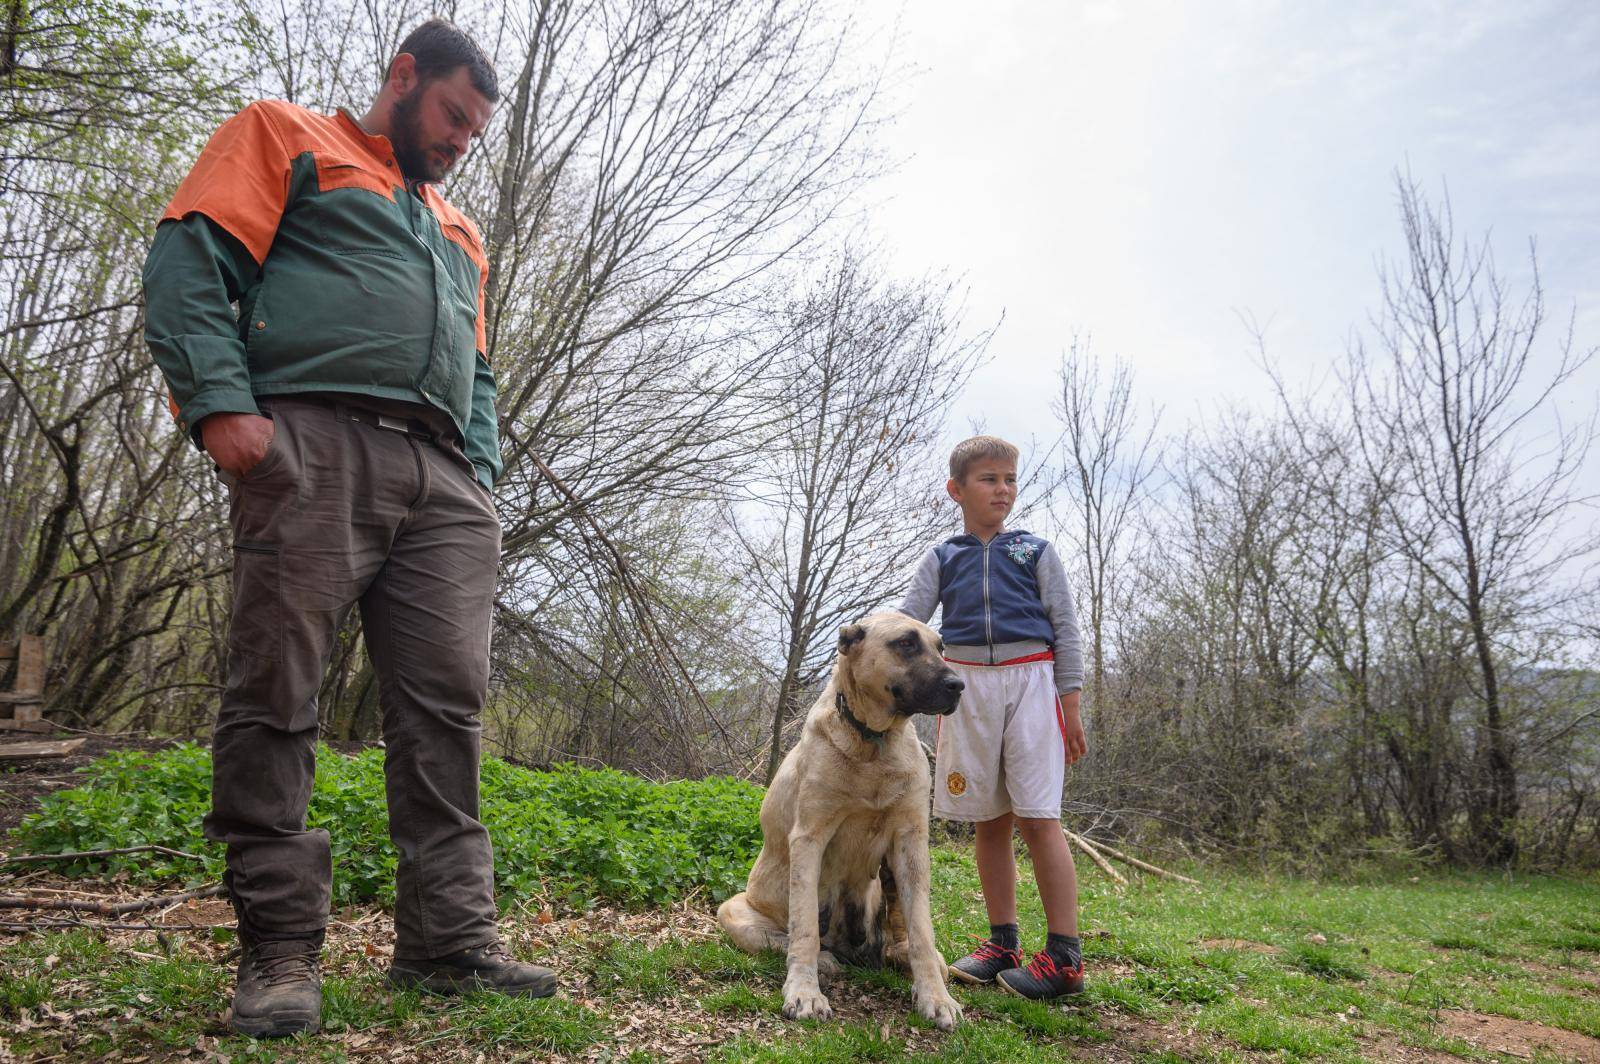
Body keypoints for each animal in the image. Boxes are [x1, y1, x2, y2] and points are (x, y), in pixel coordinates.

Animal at [723, 614, 966, 1030]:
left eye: (941, 647)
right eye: (906, 643)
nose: (958, 686)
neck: (873, 742)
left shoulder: (911, 843)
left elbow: (922, 930)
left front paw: (935, 997)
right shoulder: (809, 838)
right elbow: (804, 927)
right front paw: (804, 992)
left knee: (909, 938)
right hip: (735, 910)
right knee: (788, 938)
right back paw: (825, 960)